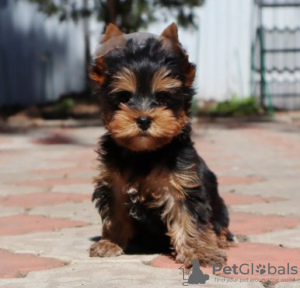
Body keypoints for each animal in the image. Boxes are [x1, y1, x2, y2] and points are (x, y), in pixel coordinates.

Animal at [89, 22, 234, 266]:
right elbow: (116, 214)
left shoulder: (182, 184)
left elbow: (188, 217)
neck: (144, 152)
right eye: (123, 98)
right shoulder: (115, 184)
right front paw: (111, 242)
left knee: (219, 223)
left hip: (219, 207)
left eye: (164, 98)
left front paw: (199, 253)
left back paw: (221, 240)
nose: (143, 119)